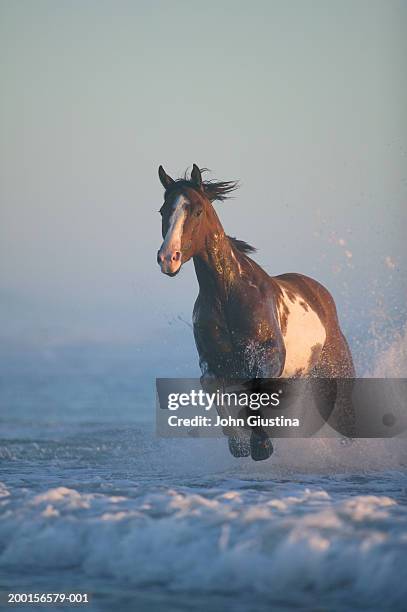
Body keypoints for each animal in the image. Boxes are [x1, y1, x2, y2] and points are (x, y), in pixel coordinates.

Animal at [158, 163, 356, 460]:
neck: (227, 296)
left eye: (197, 210)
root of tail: (320, 295)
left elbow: (257, 389)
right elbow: (212, 387)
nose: (168, 258)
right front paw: (239, 443)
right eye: (163, 210)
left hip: (335, 372)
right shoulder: (213, 361)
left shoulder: (270, 355)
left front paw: (261, 445)